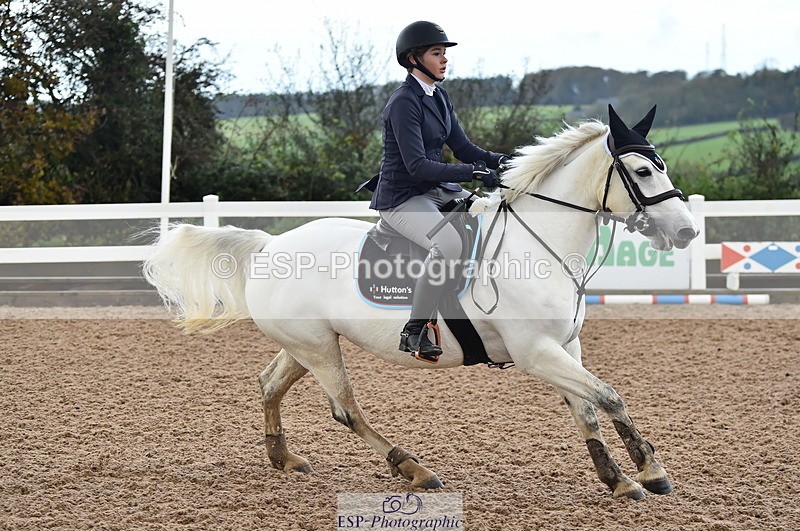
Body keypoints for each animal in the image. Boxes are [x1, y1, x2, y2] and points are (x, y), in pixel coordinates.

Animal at [143, 104, 700, 499]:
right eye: (642, 173)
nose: (687, 232)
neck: (540, 243)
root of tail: (268, 246)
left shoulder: (566, 347)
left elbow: (588, 408)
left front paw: (620, 479)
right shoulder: (536, 352)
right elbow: (609, 396)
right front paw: (650, 471)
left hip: (307, 343)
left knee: (269, 384)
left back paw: (285, 459)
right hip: (319, 348)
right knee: (346, 410)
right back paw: (414, 469)